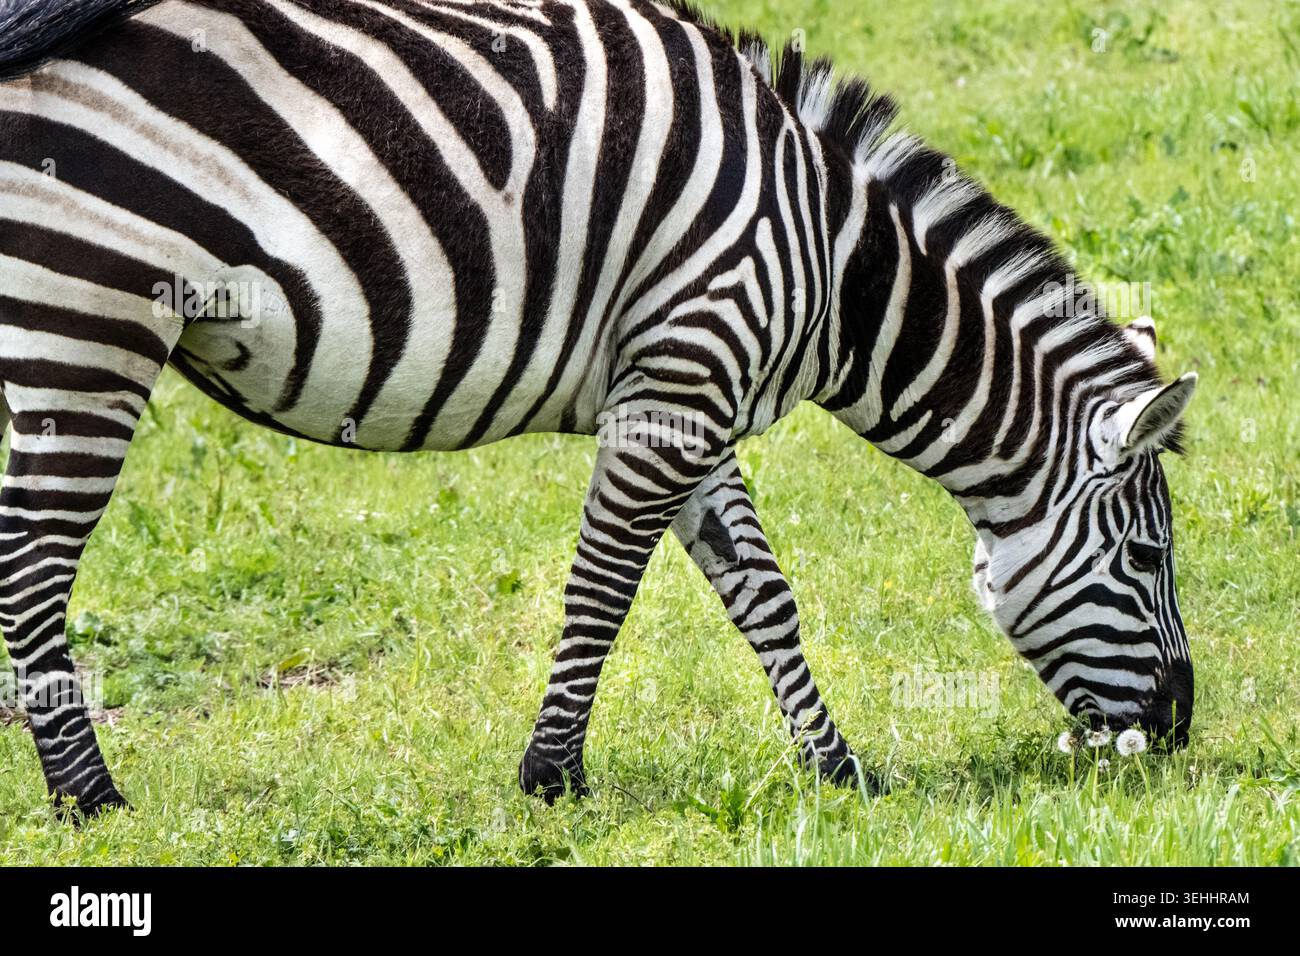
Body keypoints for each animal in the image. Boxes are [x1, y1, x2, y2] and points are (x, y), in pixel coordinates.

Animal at [0, 0, 1197, 817]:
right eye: (1147, 558)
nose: (1183, 728)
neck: (832, 260)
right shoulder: (681, 380)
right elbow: (603, 590)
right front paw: (552, 776)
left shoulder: (692, 390)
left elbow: (764, 595)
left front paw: (836, 767)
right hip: (86, 320)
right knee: (34, 568)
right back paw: (89, 799)